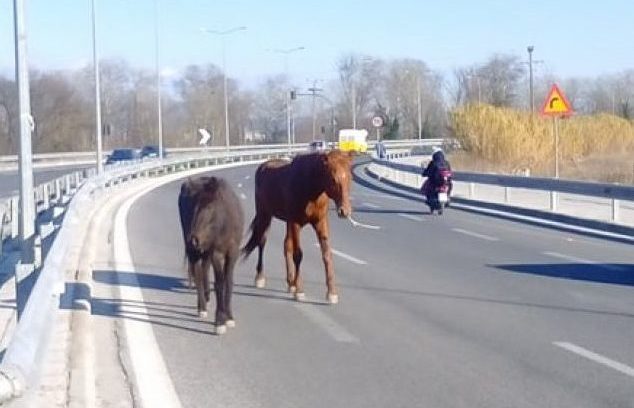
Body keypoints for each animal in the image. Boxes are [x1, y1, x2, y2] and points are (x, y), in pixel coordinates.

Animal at [241, 149, 354, 302]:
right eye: (333, 178)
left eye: (350, 178)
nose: (344, 211)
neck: (310, 187)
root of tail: (263, 166)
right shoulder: (295, 223)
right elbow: (298, 254)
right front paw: (299, 290)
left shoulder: (320, 222)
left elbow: (326, 254)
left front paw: (331, 292)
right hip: (265, 214)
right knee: (262, 241)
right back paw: (260, 277)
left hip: (286, 221)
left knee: (286, 245)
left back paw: (290, 282)